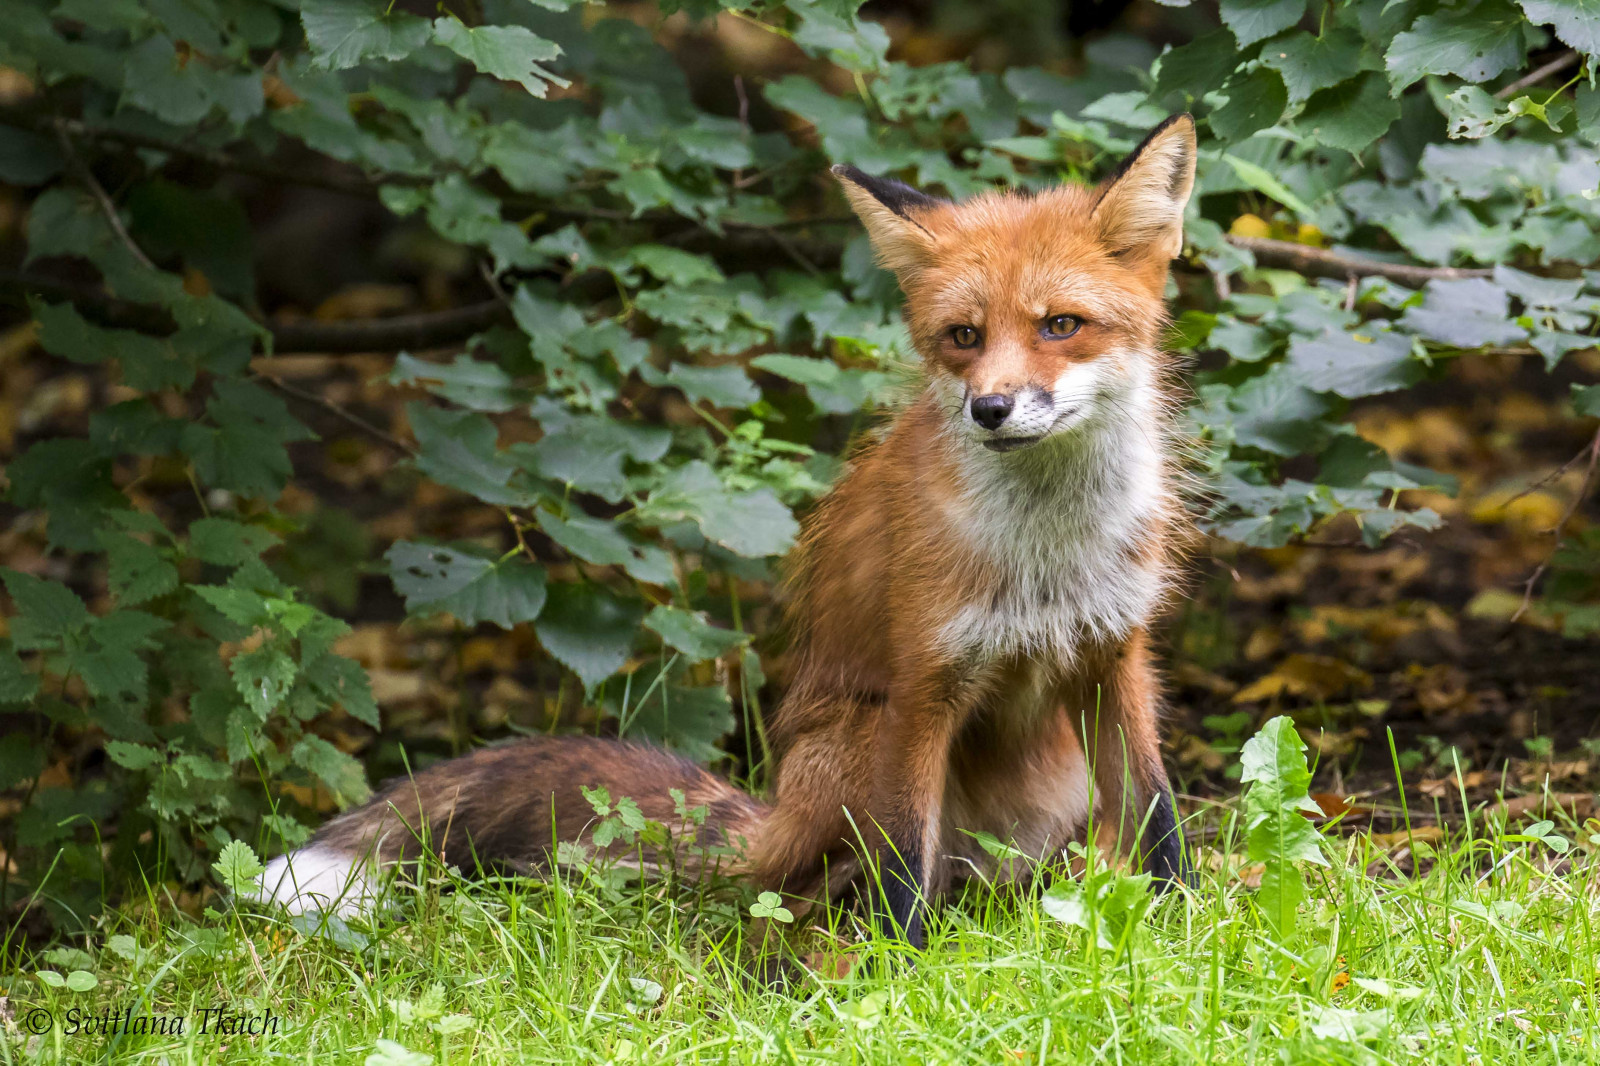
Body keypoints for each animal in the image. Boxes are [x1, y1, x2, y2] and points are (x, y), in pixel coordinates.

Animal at [252, 114, 1199, 950]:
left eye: (1060, 325)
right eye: (964, 336)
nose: (990, 408)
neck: (1049, 554)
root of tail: (773, 818)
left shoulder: (1116, 653)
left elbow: (1159, 820)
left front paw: (1185, 932)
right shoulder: (922, 686)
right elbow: (901, 877)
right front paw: (898, 978)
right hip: (852, 748)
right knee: (830, 894)